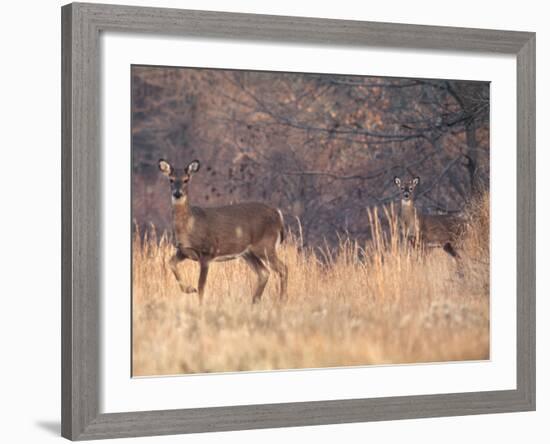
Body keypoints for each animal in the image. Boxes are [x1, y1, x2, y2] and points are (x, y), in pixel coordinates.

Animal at [158, 158, 288, 304]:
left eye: (186, 179)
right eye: (171, 179)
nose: (177, 193)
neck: (190, 226)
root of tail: (278, 214)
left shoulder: (207, 251)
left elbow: (201, 286)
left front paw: (199, 303)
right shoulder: (183, 251)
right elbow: (170, 263)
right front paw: (189, 289)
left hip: (265, 245)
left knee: (283, 269)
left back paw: (281, 300)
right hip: (248, 253)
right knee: (264, 272)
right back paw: (255, 301)